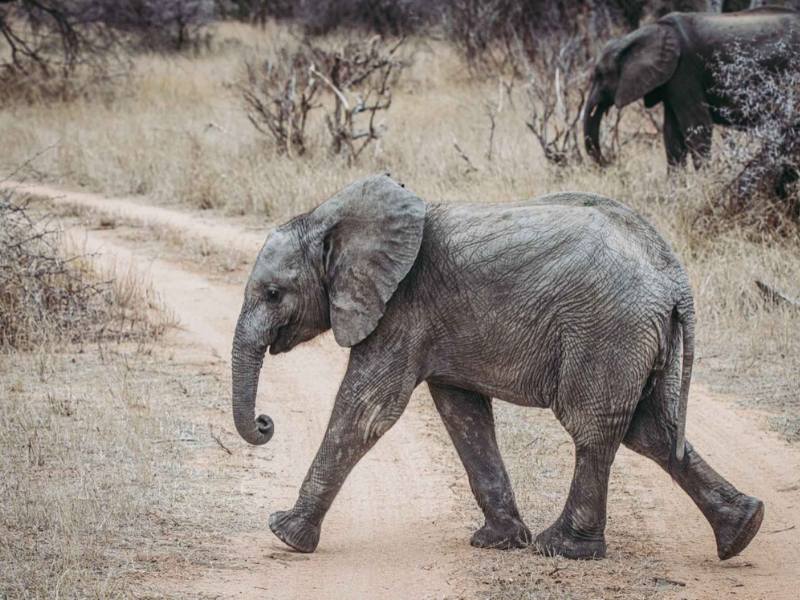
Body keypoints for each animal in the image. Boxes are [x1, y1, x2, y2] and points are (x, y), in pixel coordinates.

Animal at [230, 175, 764, 564]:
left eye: (273, 294)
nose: (265, 422)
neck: (330, 219)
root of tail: (674, 275)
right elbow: (462, 413)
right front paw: (499, 541)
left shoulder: (402, 308)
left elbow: (365, 411)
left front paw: (285, 533)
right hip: (641, 335)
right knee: (653, 430)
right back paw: (742, 531)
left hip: (608, 328)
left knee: (594, 428)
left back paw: (564, 549)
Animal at [580, 5, 800, 168]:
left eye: (600, 75)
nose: (609, 163)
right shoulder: (671, 80)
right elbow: (672, 135)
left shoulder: (684, 71)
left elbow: (697, 127)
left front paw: (705, 181)